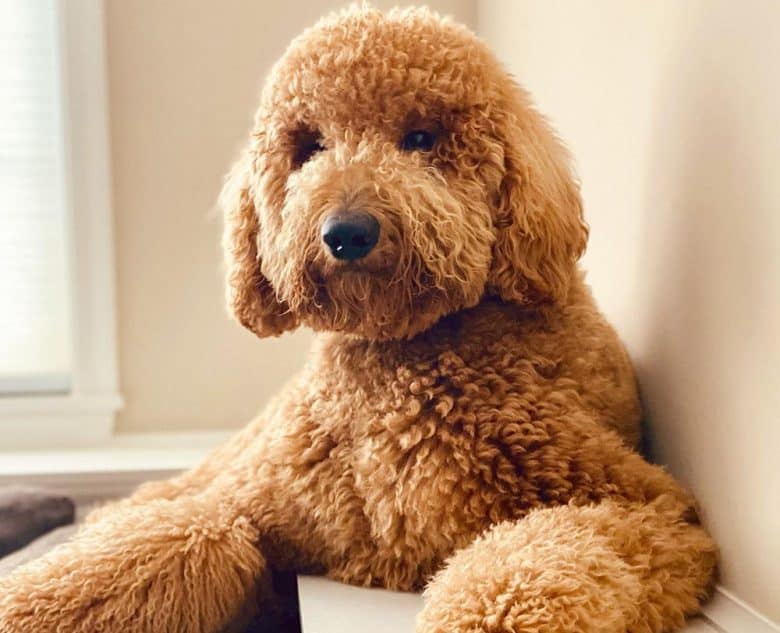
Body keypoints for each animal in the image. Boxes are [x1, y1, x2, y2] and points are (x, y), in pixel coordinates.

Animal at [0, 6, 716, 632]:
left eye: (421, 139)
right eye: (310, 146)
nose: (346, 232)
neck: (400, 354)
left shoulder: (645, 510)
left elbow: (530, 565)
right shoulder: (245, 505)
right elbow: (163, 543)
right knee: (149, 504)